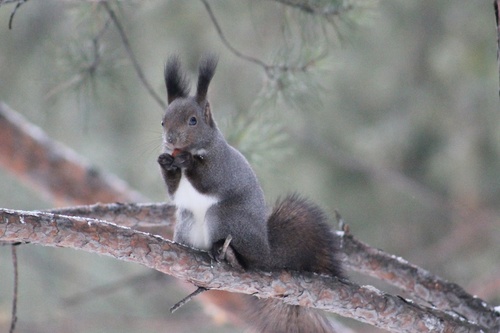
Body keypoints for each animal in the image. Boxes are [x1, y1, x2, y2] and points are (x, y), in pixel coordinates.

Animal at [156, 55, 344, 332]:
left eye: (193, 120)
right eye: (163, 121)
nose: (169, 140)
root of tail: (267, 253)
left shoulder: (223, 167)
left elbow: (209, 181)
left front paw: (187, 162)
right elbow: (174, 192)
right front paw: (165, 162)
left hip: (224, 216)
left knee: (245, 261)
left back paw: (225, 253)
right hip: (187, 221)